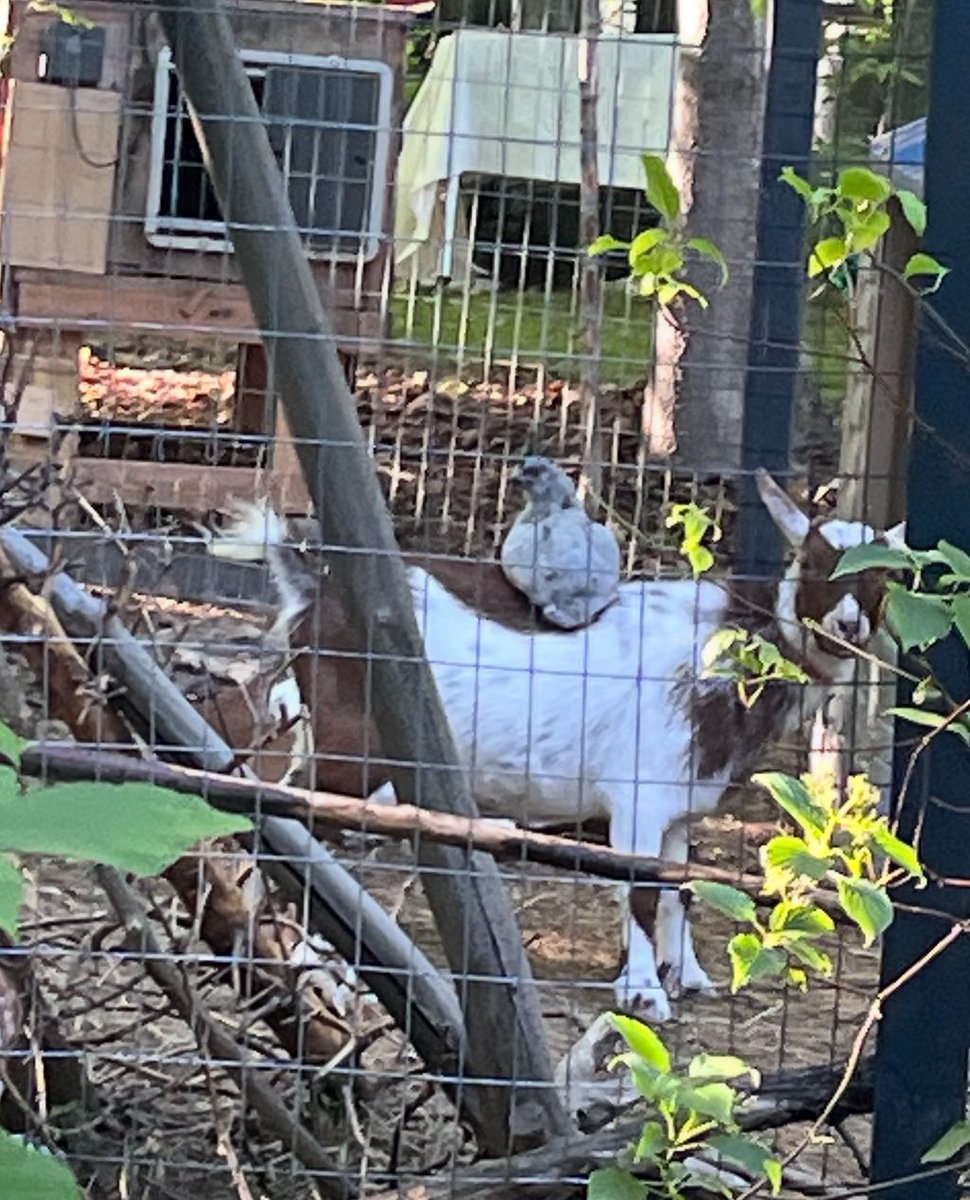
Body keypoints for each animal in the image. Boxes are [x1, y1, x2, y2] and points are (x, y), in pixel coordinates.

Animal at [208, 471, 904, 1022]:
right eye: (813, 564)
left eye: (884, 581)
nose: (849, 626)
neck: (722, 650)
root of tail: (311, 592)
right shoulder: (637, 796)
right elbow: (642, 892)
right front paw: (644, 994)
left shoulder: (681, 801)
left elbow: (679, 889)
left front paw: (690, 977)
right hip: (351, 746)